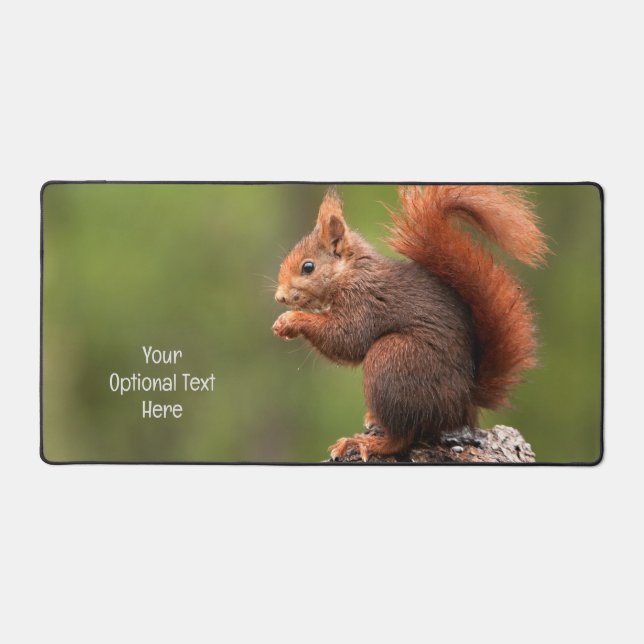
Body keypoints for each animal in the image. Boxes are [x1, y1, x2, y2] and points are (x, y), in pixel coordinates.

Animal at [272, 185, 548, 461]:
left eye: (308, 267)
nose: (280, 297)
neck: (350, 272)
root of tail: (465, 401)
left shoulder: (364, 302)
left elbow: (347, 339)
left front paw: (291, 320)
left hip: (393, 360)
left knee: (402, 438)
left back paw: (365, 443)